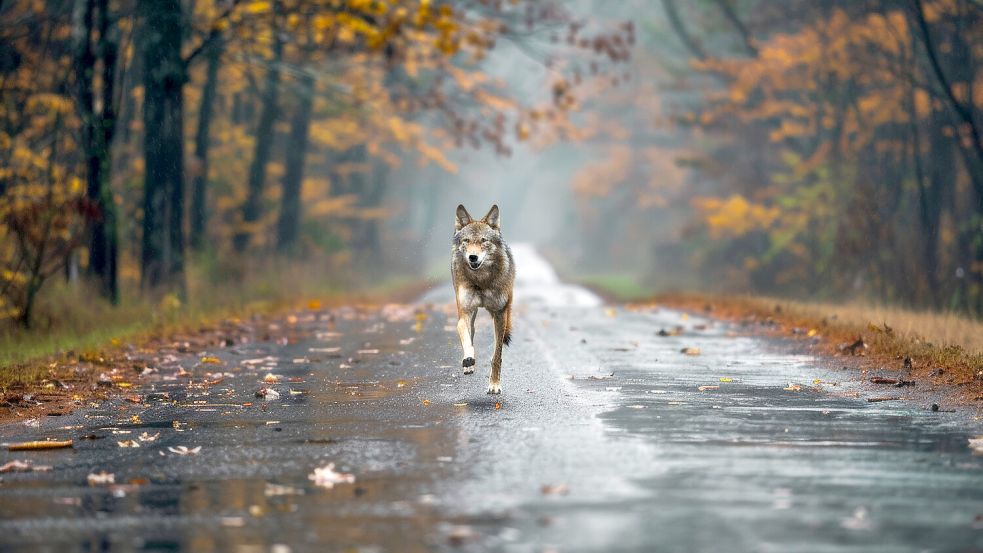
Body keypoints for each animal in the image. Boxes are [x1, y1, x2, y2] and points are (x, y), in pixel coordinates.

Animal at [452, 205, 516, 394]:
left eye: (483, 240)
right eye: (466, 240)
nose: (473, 257)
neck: (481, 281)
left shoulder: (500, 314)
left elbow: (497, 355)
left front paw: (494, 384)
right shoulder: (464, 313)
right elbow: (466, 338)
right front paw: (468, 361)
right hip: (473, 315)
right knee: (472, 333)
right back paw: (469, 364)